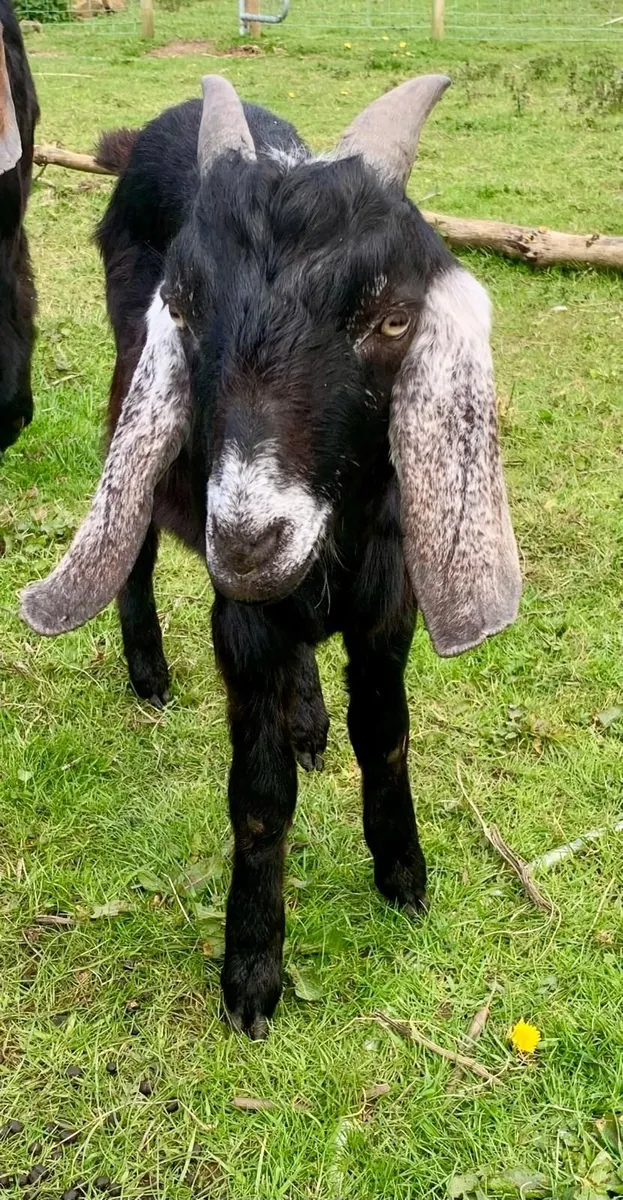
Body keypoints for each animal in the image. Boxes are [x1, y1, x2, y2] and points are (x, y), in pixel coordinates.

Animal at [22, 75, 521, 1038]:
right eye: (184, 306)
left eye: (394, 316)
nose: (251, 536)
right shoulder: (242, 619)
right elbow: (259, 799)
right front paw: (251, 974)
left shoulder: (388, 604)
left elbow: (386, 737)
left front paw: (403, 877)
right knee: (136, 550)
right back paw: (150, 673)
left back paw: (308, 716)